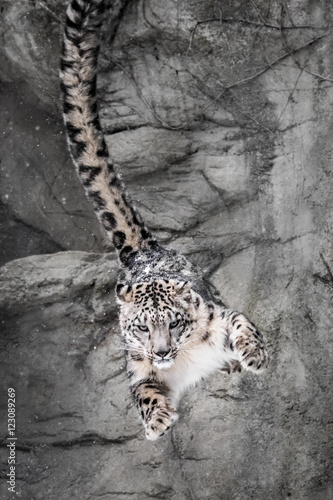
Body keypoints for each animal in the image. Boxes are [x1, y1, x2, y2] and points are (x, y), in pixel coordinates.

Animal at [60, 0, 268, 440]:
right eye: (142, 328)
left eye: (174, 323)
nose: (161, 350)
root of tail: (143, 249)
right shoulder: (137, 366)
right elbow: (142, 388)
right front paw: (156, 419)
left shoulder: (221, 317)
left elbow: (242, 323)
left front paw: (253, 355)